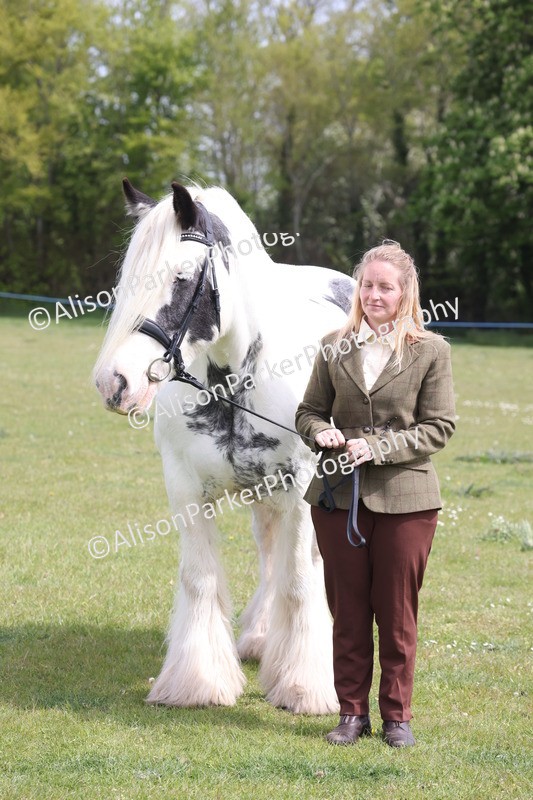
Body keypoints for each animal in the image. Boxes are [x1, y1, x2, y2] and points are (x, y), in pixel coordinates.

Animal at [93, 178, 355, 714]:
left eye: (181, 276)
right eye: (127, 278)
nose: (115, 382)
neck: (234, 381)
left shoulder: (301, 489)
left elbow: (299, 580)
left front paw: (304, 686)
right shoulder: (185, 489)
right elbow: (200, 578)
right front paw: (197, 682)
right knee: (269, 552)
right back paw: (260, 637)